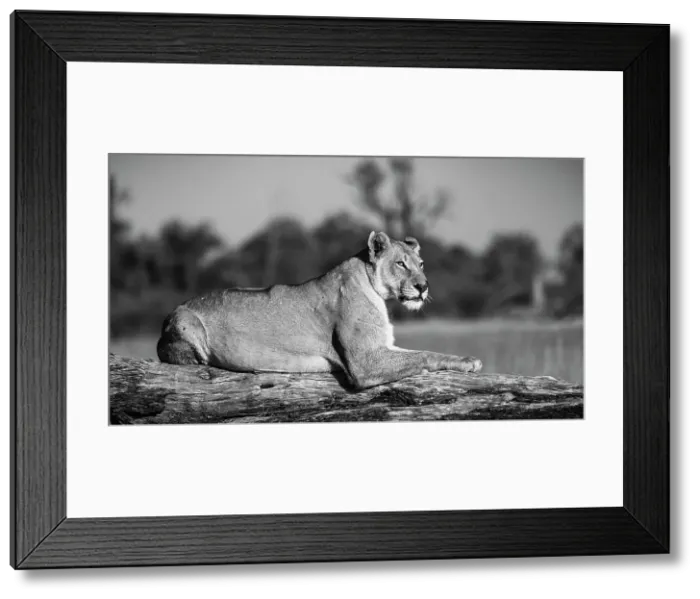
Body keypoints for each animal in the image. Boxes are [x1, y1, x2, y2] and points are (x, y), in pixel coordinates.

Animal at [157, 231, 483, 390]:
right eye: (401, 264)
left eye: (421, 264)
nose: (423, 286)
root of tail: (168, 314)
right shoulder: (365, 363)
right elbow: (423, 356)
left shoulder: (382, 347)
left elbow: (427, 352)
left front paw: (466, 360)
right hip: (187, 320)